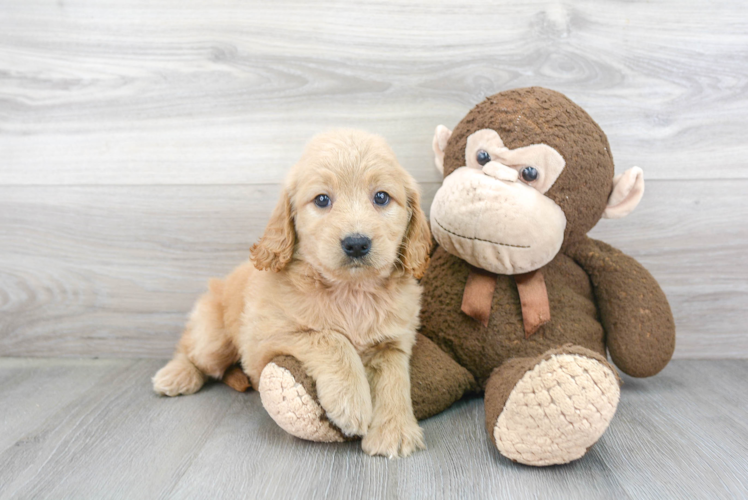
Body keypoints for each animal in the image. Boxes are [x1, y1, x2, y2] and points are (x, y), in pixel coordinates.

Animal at [150, 129, 432, 458]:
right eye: (322, 199)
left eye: (381, 197)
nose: (356, 244)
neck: (351, 292)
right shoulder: (265, 338)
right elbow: (330, 338)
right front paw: (351, 402)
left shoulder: (393, 342)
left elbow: (395, 380)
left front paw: (394, 432)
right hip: (213, 338)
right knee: (191, 351)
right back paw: (176, 374)